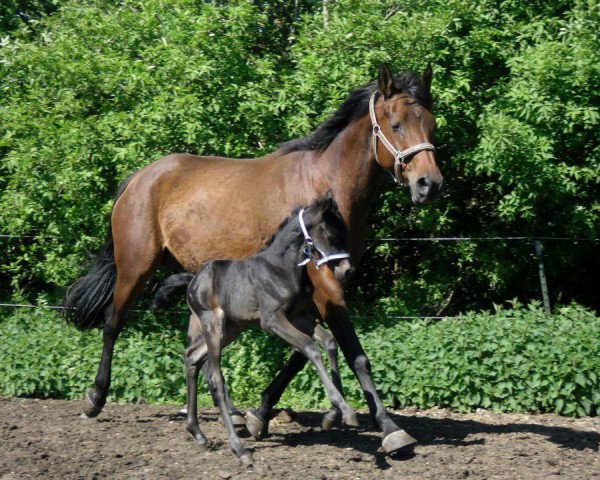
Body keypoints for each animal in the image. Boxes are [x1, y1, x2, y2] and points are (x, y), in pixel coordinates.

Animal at [185, 192, 356, 464]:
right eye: (332, 234)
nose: (347, 270)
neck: (282, 268)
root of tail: (192, 283)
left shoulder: (298, 316)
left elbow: (329, 342)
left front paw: (333, 414)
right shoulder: (272, 319)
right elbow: (310, 347)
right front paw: (345, 409)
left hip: (232, 328)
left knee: (192, 357)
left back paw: (199, 435)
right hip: (213, 324)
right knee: (215, 378)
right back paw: (239, 449)